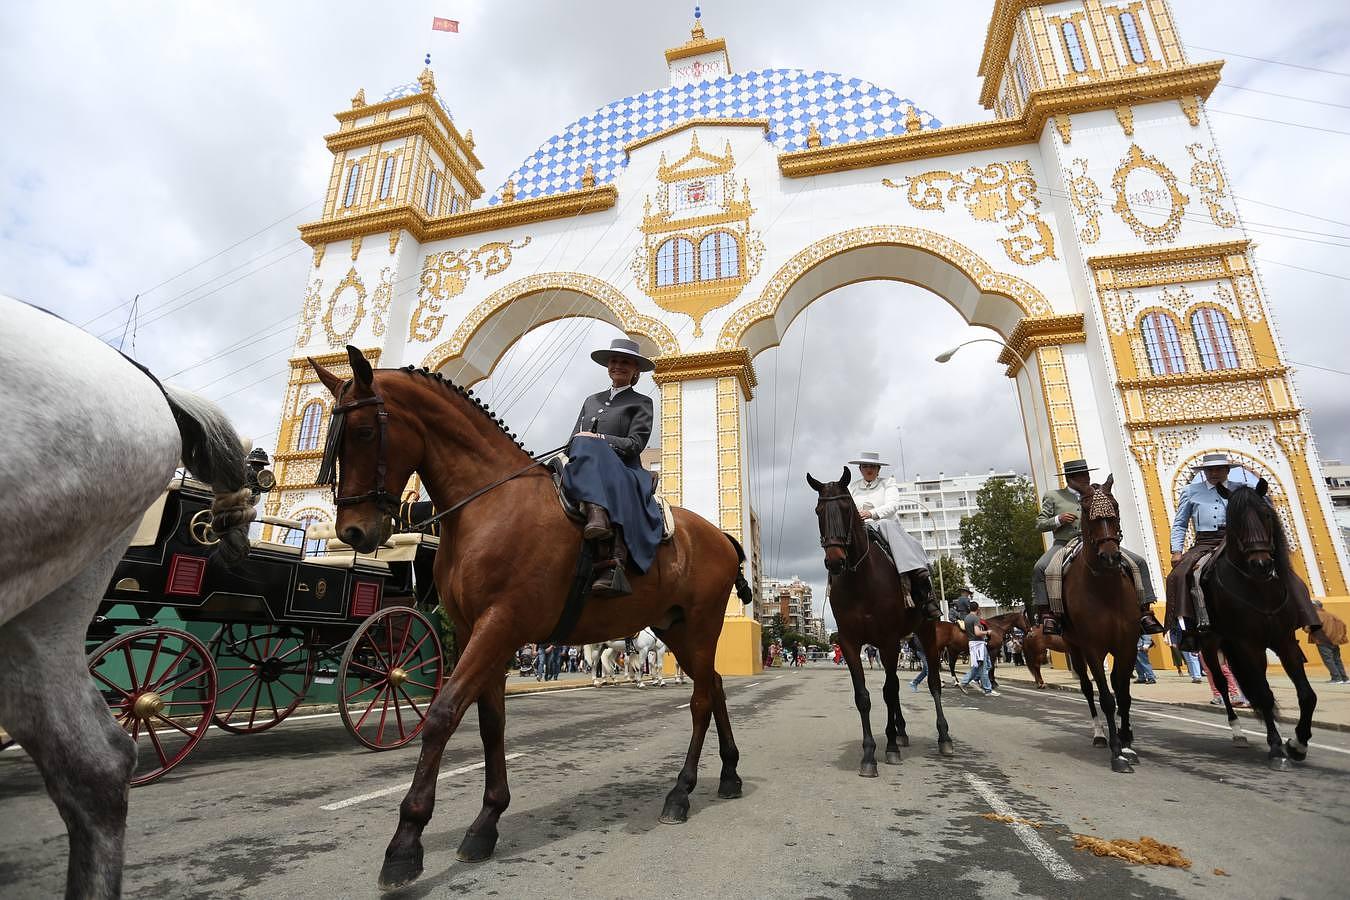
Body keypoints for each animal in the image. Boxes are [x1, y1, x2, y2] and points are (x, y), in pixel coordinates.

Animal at [314, 348, 756, 890]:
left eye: (362, 433)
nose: (354, 532)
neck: (488, 504)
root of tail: (719, 536)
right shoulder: (480, 633)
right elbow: (490, 723)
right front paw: (487, 822)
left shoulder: (501, 625)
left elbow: (443, 715)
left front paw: (405, 844)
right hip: (676, 630)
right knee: (714, 687)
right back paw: (729, 774)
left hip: (698, 627)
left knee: (699, 700)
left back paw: (681, 791)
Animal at [804, 464, 955, 777]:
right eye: (818, 510)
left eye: (847, 508)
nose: (834, 561)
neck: (860, 580)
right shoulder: (851, 644)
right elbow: (864, 696)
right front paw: (869, 753)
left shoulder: (887, 641)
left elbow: (889, 691)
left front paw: (890, 748)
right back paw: (901, 731)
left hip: (925, 633)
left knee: (932, 682)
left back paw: (942, 737)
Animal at [1063, 477, 1139, 777]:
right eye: (1086, 512)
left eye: (1115, 507)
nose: (1110, 557)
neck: (1104, 587)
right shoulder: (1091, 647)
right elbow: (1106, 697)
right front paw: (1117, 753)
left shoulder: (1128, 642)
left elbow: (1123, 693)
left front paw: (1127, 744)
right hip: (1072, 645)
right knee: (1087, 687)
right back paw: (1099, 735)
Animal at [1198, 483, 1312, 771]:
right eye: (1236, 521)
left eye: (1267, 515)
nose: (1261, 564)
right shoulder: (1247, 643)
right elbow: (1264, 694)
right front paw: (1279, 748)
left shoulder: (1285, 639)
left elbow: (1306, 694)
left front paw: (1297, 744)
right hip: (1211, 643)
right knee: (1223, 682)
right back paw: (1239, 731)